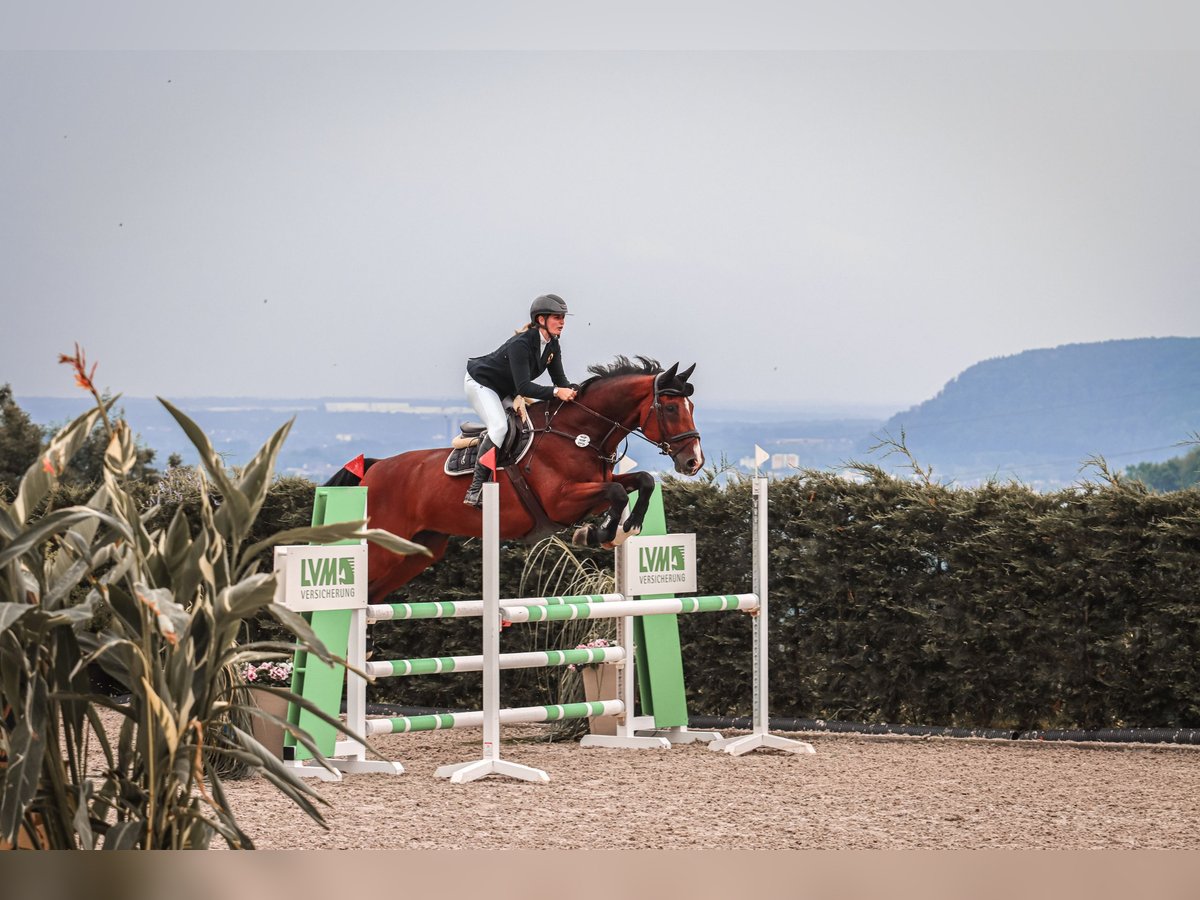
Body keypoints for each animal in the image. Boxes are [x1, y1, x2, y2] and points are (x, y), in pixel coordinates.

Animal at [328, 355, 700, 602]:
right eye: (670, 408)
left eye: (691, 407)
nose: (694, 461)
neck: (578, 434)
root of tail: (375, 468)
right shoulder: (561, 501)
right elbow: (617, 492)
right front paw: (600, 533)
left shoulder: (596, 487)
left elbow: (641, 481)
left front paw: (623, 529)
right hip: (384, 548)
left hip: (418, 552)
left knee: (373, 596)